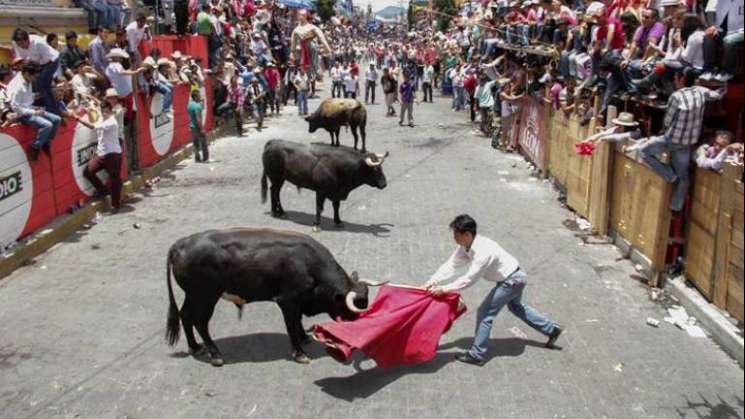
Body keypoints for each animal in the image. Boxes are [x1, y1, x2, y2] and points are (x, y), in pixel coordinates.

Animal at [260, 141, 390, 233]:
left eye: (381, 168)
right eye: (375, 169)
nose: (384, 184)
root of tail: (272, 142)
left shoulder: (336, 192)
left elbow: (336, 206)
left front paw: (338, 221)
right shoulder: (320, 191)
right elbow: (319, 208)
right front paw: (317, 225)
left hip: (279, 179)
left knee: (274, 191)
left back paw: (276, 211)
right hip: (276, 177)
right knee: (275, 191)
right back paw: (278, 212)